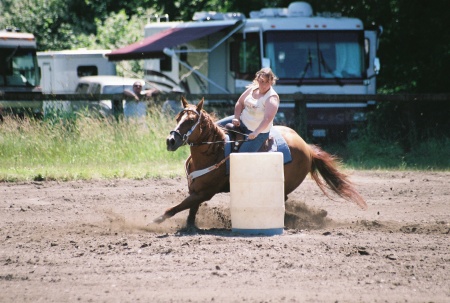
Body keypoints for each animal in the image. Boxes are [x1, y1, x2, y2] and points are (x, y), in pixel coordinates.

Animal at [154, 97, 366, 228]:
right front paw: (188, 226)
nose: (170, 141)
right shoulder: (195, 191)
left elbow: (174, 208)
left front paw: (154, 221)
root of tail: (306, 147)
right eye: (178, 118)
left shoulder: (205, 193)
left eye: (191, 121)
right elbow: (190, 212)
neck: (213, 151)